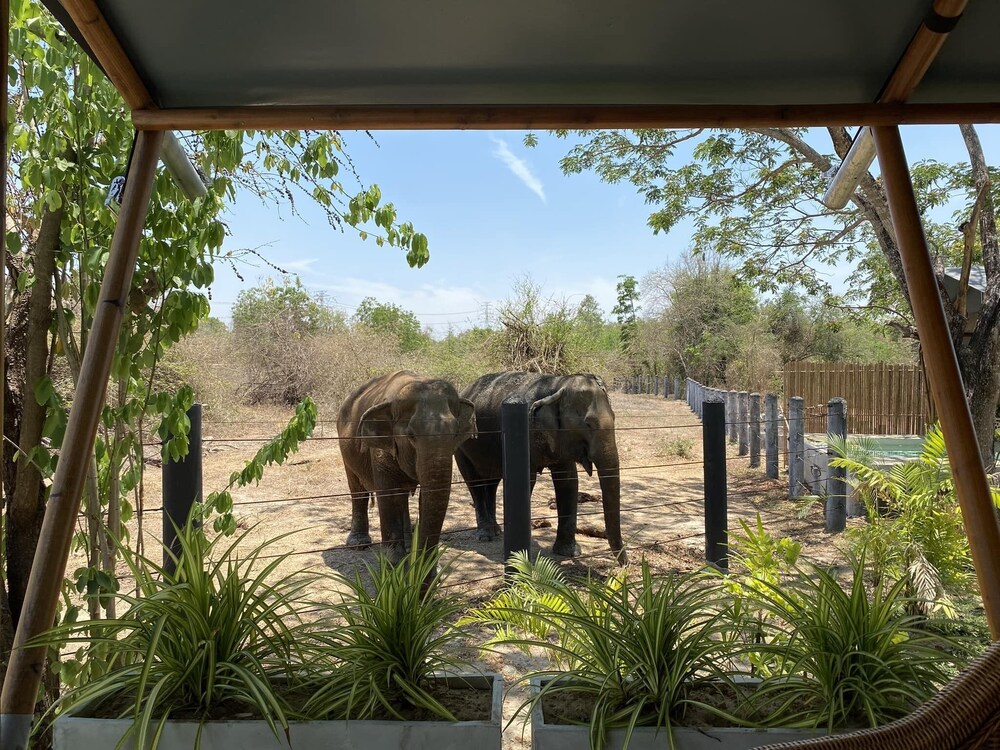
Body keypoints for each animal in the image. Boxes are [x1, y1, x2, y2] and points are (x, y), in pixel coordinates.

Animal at [338, 370, 477, 563]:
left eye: (456, 433)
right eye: (411, 435)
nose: (424, 566)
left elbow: (424, 497)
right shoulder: (381, 449)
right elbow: (388, 494)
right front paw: (394, 565)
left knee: (402, 496)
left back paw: (409, 545)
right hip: (345, 449)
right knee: (357, 489)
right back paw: (359, 544)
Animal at [455, 372, 626, 564]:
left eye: (614, 417)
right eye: (588, 424)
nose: (625, 564)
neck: (557, 383)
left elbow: (568, 481)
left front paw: (569, 553)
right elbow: (527, 479)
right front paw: (520, 558)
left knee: (492, 483)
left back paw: (497, 531)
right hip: (461, 444)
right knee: (474, 482)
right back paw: (485, 535)